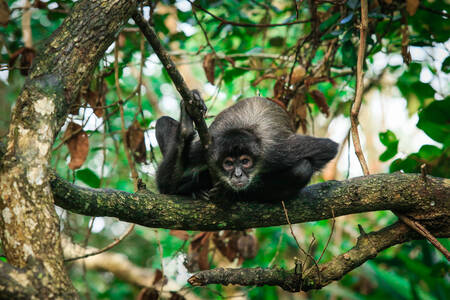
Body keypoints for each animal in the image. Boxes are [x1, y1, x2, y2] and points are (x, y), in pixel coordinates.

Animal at [156, 94, 338, 202]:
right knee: (162, 122)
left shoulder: (275, 151)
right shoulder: (205, 149)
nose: (238, 175)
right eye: (228, 163)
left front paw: (227, 191)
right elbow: (166, 186)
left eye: (245, 162)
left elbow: (329, 148)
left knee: (303, 168)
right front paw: (185, 128)